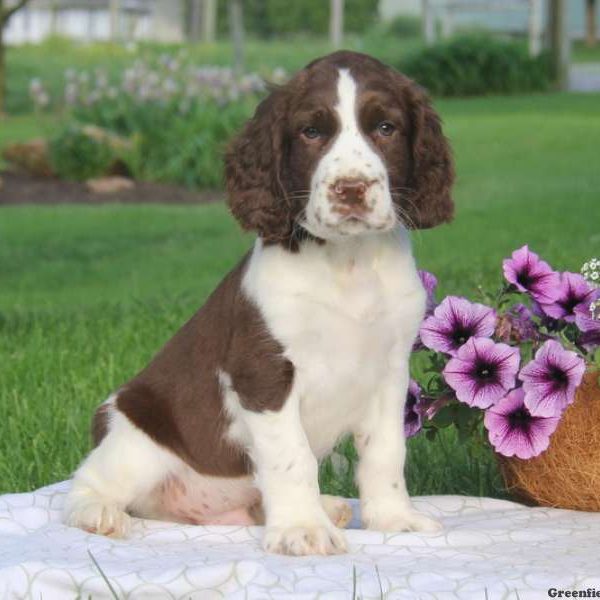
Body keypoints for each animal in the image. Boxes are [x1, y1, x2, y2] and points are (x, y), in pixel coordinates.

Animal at [63, 49, 452, 556]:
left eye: (386, 127)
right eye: (311, 132)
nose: (350, 189)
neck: (347, 262)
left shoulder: (389, 371)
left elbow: (386, 453)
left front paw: (393, 519)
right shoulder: (264, 372)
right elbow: (292, 458)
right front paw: (302, 529)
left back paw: (328, 506)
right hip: (136, 436)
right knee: (87, 482)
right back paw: (99, 513)